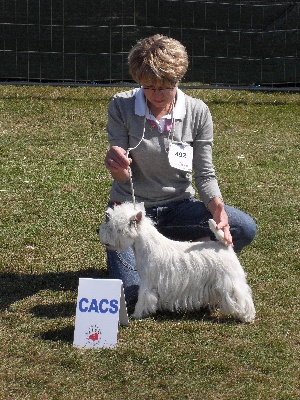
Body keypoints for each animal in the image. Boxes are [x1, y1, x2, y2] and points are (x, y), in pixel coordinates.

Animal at [99, 202, 255, 324]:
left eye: (112, 227)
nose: (98, 231)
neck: (146, 246)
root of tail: (225, 246)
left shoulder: (148, 283)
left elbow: (143, 299)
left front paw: (136, 314)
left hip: (230, 280)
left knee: (243, 298)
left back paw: (247, 317)